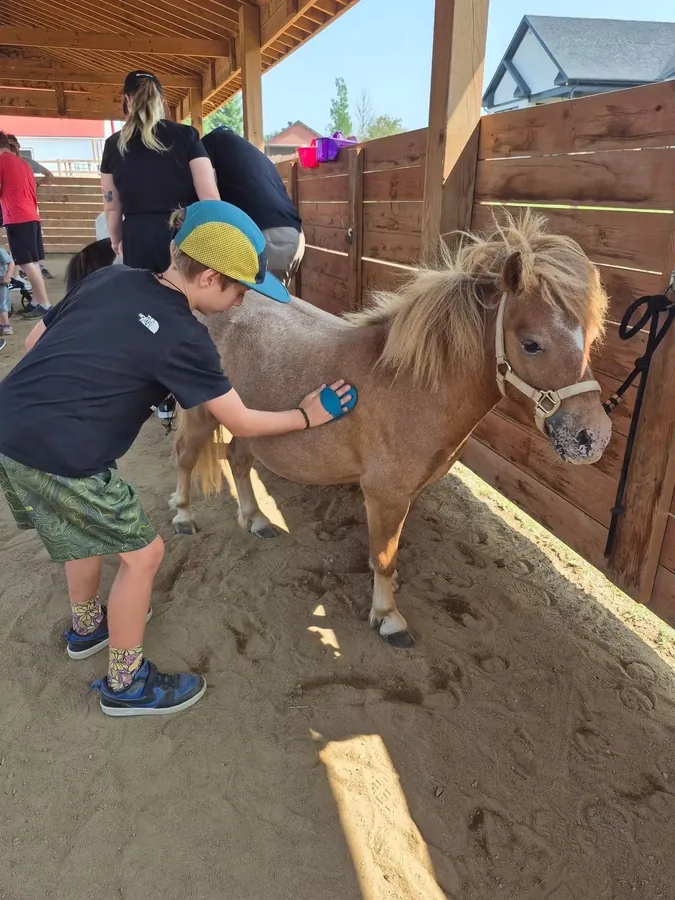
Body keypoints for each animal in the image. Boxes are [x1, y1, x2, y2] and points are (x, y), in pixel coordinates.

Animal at [168, 212, 611, 649]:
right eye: (532, 344)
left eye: (589, 338)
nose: (593, 437)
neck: (410, 386)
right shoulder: (385, 493)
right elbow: (385, 555)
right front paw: (388, 617)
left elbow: (385, 550)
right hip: (203, 415)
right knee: (186, 457)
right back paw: (183, 515)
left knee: (237, 461)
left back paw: (255, 520)